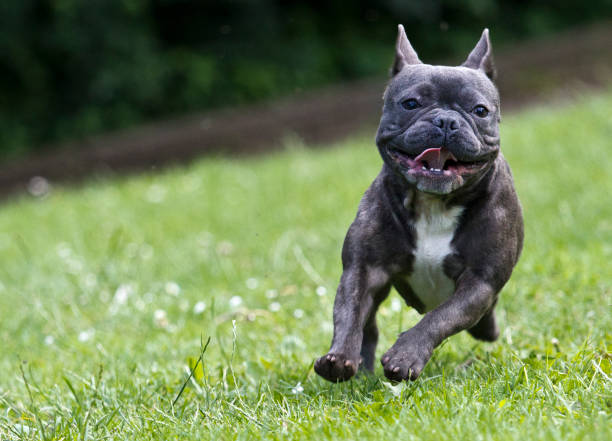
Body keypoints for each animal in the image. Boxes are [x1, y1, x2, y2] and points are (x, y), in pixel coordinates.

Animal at [316, 25, 520, 382]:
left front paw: (406, 356)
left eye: (480, 111)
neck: (435, 204)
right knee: (368, 326)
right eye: (410, 104)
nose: (446, 121)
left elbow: (439, 318)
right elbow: (349, 313)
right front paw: (339, 357)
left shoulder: (479, 282)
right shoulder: (363, 270)